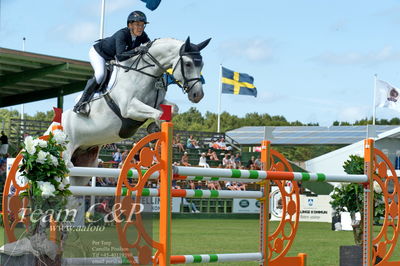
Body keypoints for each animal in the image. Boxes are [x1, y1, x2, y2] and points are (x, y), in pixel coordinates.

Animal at [61, 37, 211, 185]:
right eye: (188, 64)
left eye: (202, 65)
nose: (198, 95)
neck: (147, 74)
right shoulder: (129, 108)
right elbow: (158, 114)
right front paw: (156, 130)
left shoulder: (158, 102)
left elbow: (173, 109)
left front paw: (153, 128)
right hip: (67, 155)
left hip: (85, 165)